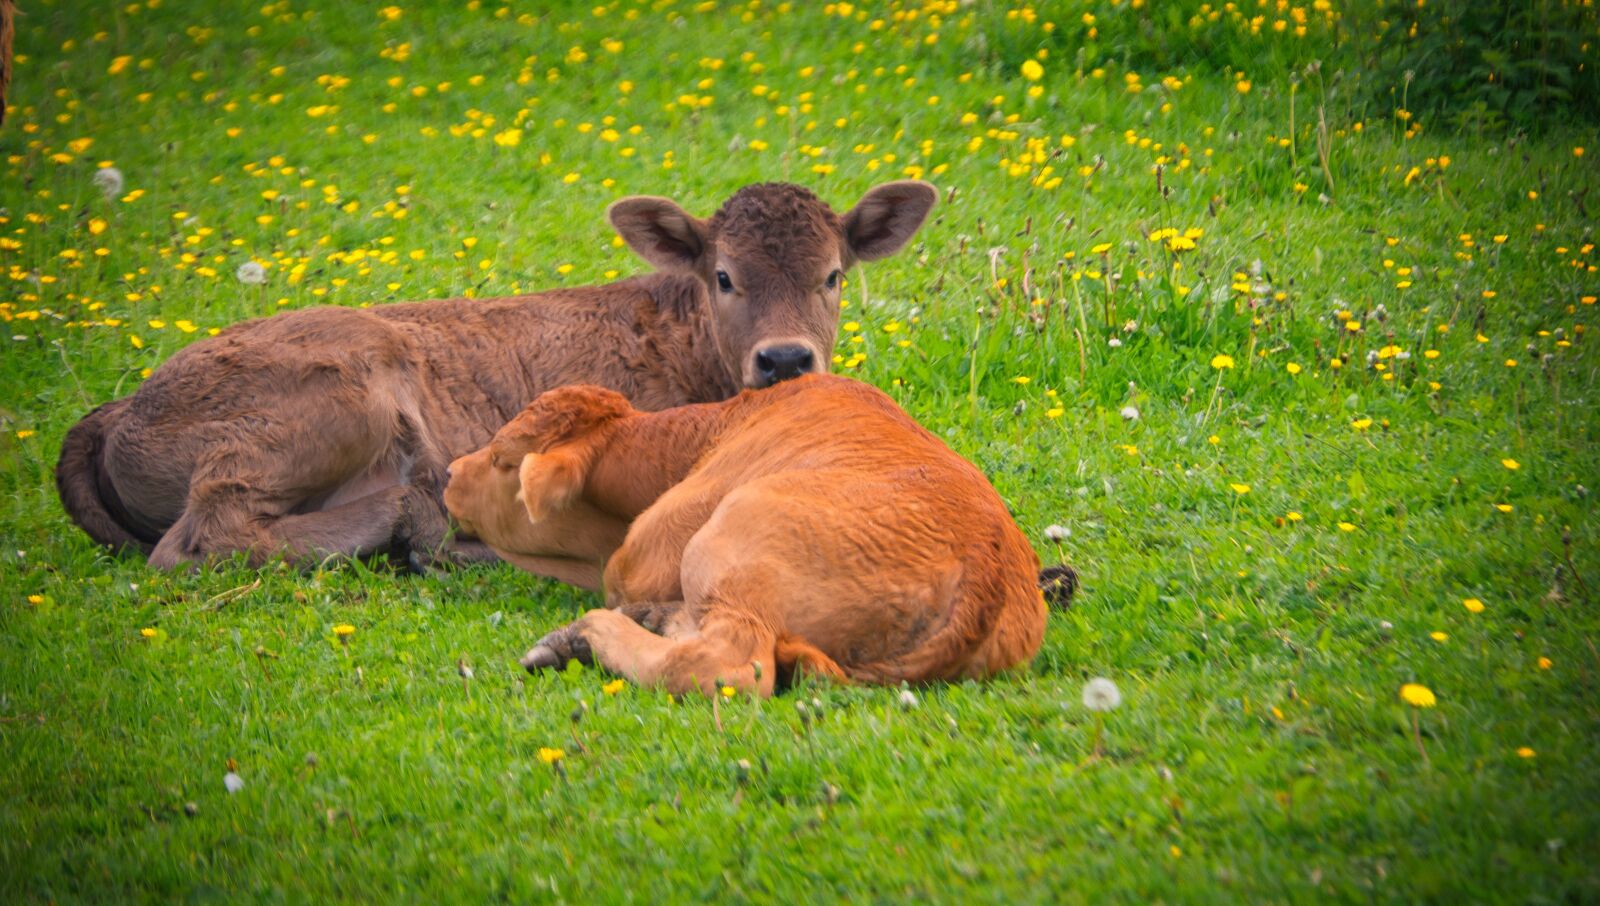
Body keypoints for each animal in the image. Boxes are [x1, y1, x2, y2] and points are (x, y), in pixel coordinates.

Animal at [54, 181, 940, 570]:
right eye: (724, 277)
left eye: (833, 274)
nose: (785, 359)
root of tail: (120, 407)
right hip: (344, 392)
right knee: (205, 536)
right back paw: (416, 521)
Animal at [444, 375, 1049, 697]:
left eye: (501, 460)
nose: (449, 472)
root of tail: (986, 566)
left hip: (729, 541)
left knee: (724, 664)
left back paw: (586, 634)